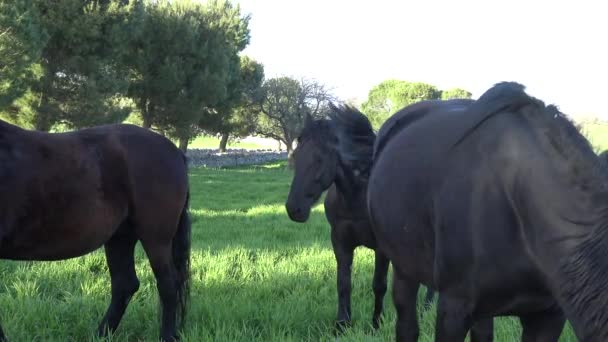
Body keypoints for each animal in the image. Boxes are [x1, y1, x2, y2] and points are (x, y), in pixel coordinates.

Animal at [0, 119, 191, 340]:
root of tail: (175, 151)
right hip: (121, 237)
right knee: (125, 284)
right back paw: (101, 334)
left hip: (156, 239)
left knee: (168, 285)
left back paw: (166, 336)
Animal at [286, 109, 434, 332]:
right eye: (295, 156)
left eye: (320, 159)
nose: (294, 209)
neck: (358, 195)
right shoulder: (340, 242)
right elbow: (343, 283)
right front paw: (341, 325)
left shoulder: (381, 248)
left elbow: (379, 285)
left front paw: (376, 323)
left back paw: (426, 309)